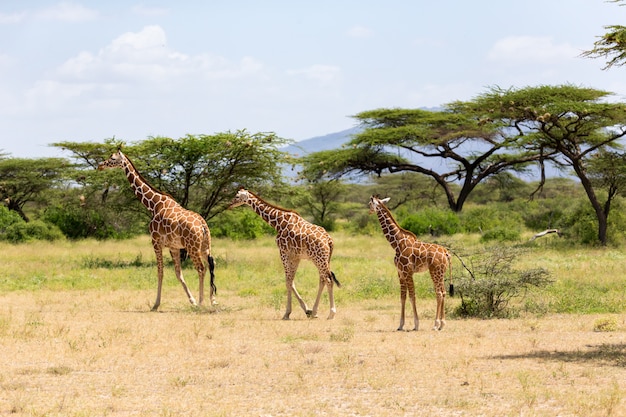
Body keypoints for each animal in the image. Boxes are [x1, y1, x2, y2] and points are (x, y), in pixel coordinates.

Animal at [96, 150, 216, 308]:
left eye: (113, 158)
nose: (100, 165)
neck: (153, 204)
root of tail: (202, 225)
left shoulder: (156, 242)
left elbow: (160, 272)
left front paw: (156, 304)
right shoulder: (173, 247)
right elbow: (178, 273)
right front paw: (192, 300)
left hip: (192, 248)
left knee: (201, 268)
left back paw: (202, 302)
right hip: (205, 247)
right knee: (211, 265)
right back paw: (212, 300)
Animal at [227, 187, 338, 320]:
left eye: (237, 196)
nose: (229, 205)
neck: (278, 222)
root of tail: (329, 240)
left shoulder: (284, 252)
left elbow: (288, 282)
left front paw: (287, 313)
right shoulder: (295, 257)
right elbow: (291, 281)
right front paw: (307, 310)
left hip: (319, 259)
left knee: (328, 280)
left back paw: (331, 313)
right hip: (323, 259)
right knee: (322, 279)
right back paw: (315, 312)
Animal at [366, 196, 448, 332]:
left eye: (369, 204)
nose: (368, 212)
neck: (397, 243)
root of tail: (447, 253)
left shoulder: (407, 271)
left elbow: (412, 296)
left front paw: (416, 324)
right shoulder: (400, 272)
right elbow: (403, 297)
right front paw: (400, 325)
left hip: (434, 271)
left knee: (439, 293)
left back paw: (436, 324)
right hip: (441, 273)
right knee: (444, 292)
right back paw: (442, 324)